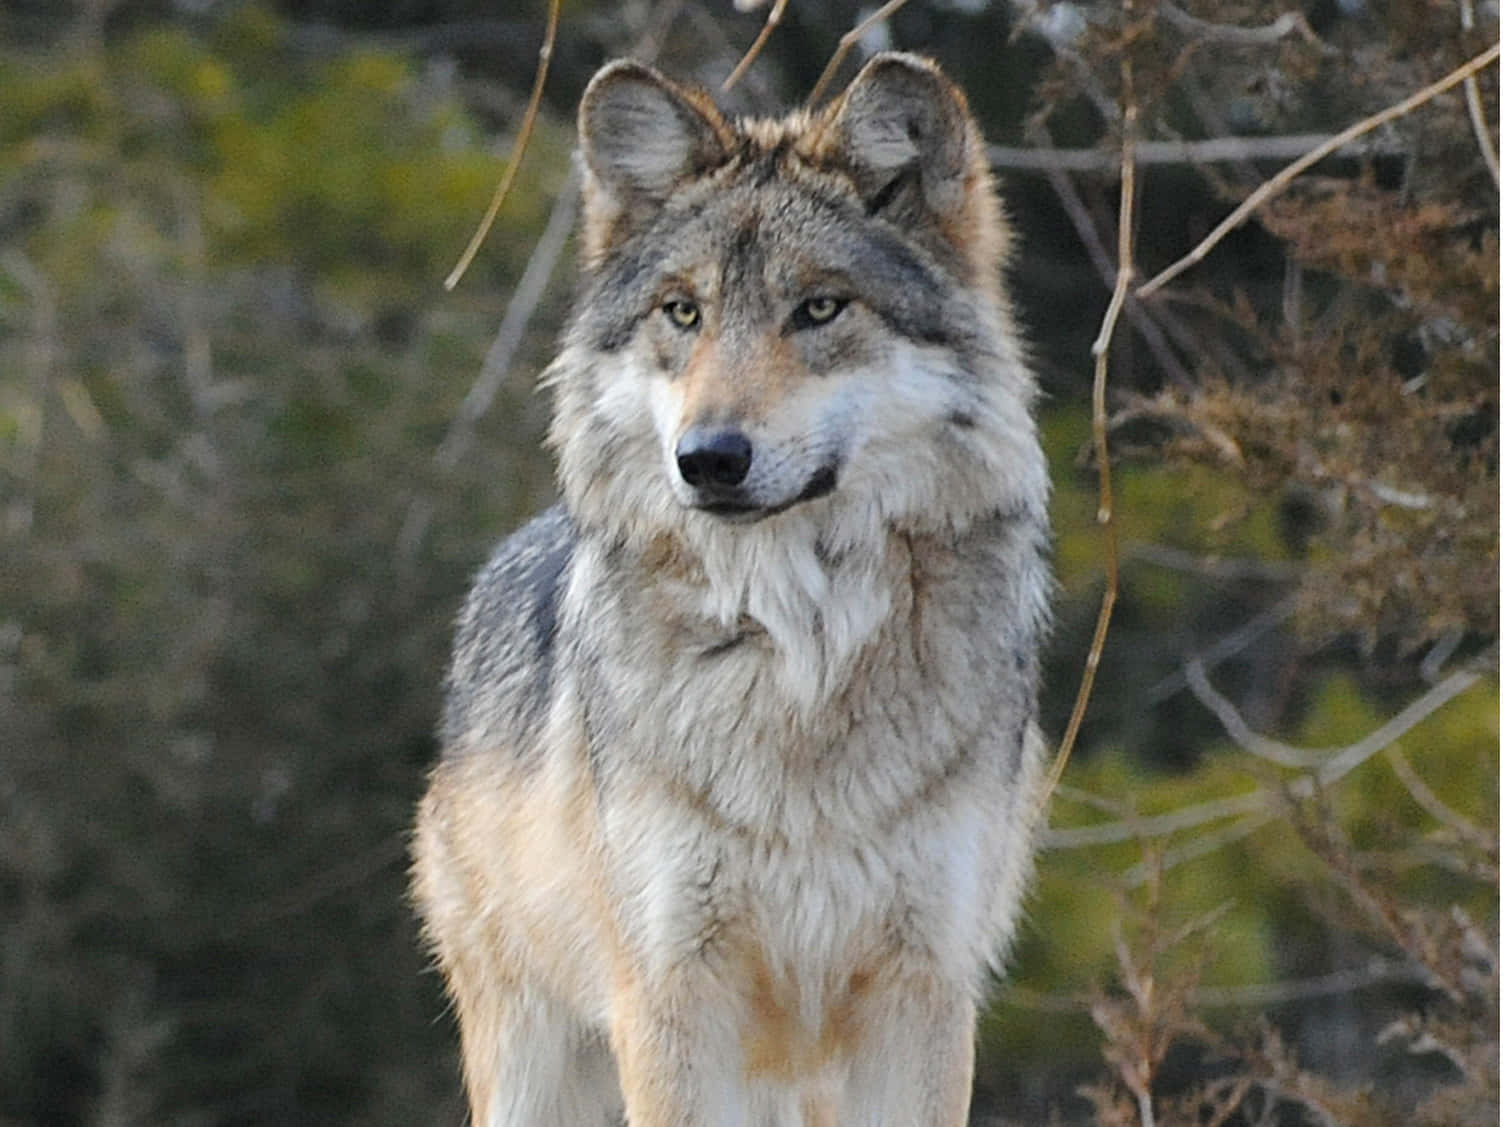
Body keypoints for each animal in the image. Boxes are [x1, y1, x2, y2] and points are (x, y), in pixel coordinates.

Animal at [405, 52, 1052, 1127]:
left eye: (819, 308)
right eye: (684, 312)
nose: (707, 458)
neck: (796, 651)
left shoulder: (924, 992)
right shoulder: (671, 995)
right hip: (534, 1064)